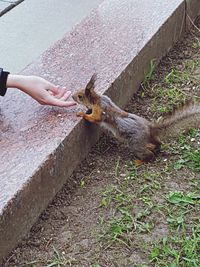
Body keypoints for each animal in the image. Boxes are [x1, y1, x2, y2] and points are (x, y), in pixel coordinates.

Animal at [72, 74, 200, 163]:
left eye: (80, 96)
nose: (72, 96)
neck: (97, 99)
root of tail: (150, 128)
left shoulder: (101, 109)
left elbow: (96, 118)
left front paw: (82, 114)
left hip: (136, 142)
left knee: (148, 154)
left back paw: (139, 161)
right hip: (146, 139)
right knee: (157, 144)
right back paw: (153, 147)